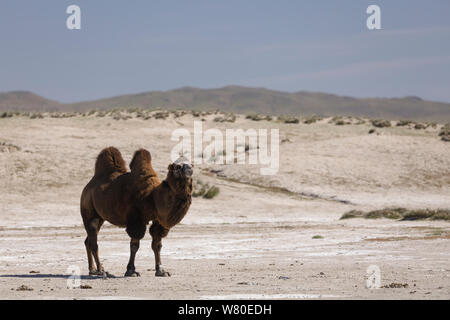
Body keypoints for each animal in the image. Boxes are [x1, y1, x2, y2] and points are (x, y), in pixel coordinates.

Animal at [80, 146, 192, 276]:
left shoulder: (157, 220)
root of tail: (87, 187)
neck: (153, 197)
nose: (189, 168)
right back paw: (101, 270)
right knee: (94, 242)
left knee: (88, 240)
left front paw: (161, 270)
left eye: (191, 165)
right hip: (89, 212)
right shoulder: (135, 218)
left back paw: (92, 270)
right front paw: (131, 270)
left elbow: (157, 245)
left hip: (100, 217)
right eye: (178, 167)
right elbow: (134, 245)